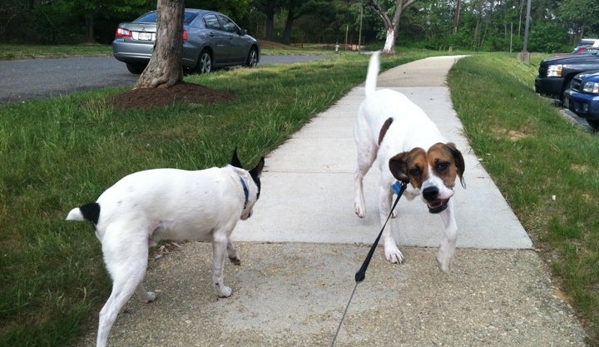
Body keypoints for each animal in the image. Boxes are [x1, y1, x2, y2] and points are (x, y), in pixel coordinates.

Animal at [354, 51, 466, 274]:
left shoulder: (445, 193)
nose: (430, 192)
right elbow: (386, 228)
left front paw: (444, 258)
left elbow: (453, 230)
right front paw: (391, 250)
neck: (420, 136)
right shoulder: (385, 189)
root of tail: (372, 95)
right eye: (415, 170)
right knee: (357, 176)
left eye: (443, 165)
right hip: (366, 154)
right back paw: (360, 204)